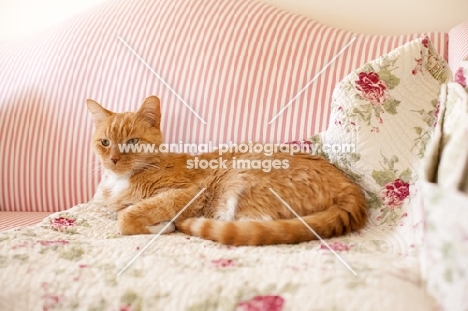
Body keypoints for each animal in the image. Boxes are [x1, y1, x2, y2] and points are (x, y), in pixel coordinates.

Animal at [86, 95, 368, 246]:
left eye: (132, 142)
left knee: (258, 227)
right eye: (105, 142)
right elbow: (124, 212)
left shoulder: (189, 192)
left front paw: (162, 225)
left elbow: (128, 217)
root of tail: (349, 186)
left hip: (241, 179)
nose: (113, 159)